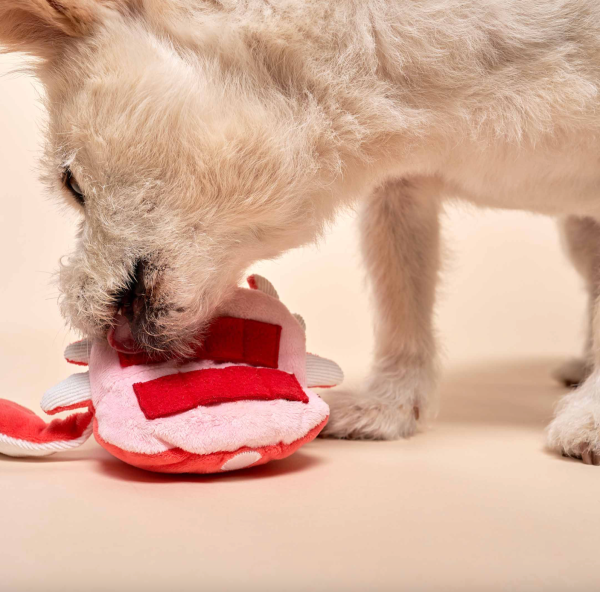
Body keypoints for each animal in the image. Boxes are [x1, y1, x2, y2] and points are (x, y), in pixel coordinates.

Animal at [1, 0, 600, 462]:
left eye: (70, 184)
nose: (73, 303)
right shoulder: (401, 191)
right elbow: (402, 305)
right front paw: (390, 406)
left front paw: (591, 420)